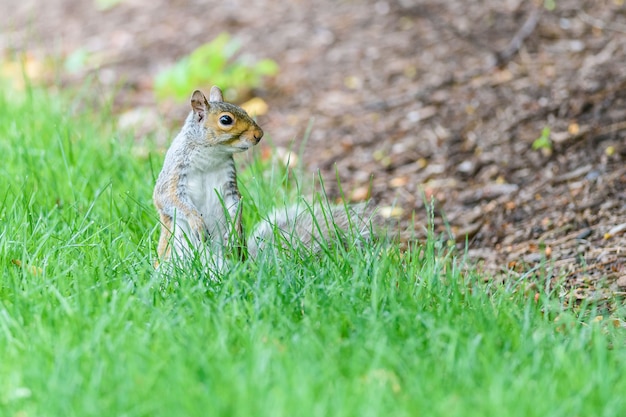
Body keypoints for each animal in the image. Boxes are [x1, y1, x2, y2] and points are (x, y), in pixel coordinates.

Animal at [153, 86, 370, 272]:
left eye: (244, 109)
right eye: (226, 120)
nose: (260, 134)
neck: (211, 155)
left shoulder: (229, 184)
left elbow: (236, 205)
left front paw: (234, 232)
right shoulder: (174, 175)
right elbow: (169, 199)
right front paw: (196, 222)